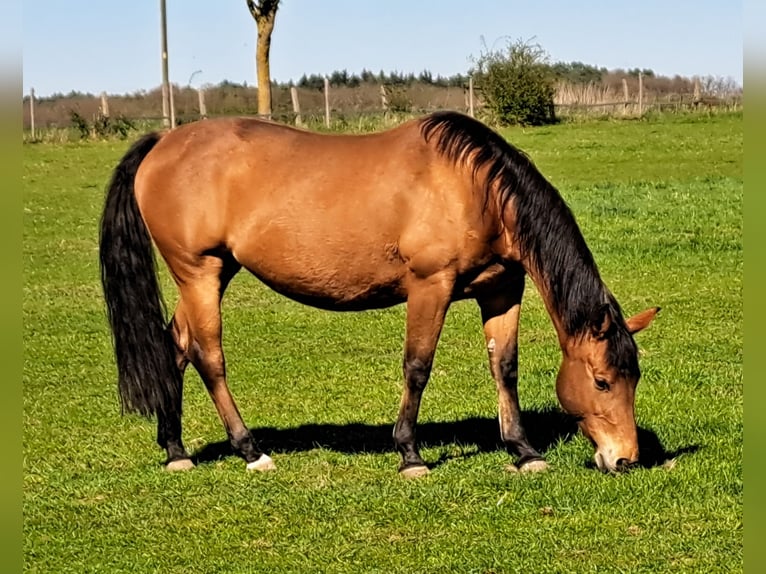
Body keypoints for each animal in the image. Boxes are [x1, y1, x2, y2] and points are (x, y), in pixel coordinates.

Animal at [99, 111, 658, 477]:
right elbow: (418, 367)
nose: (625, 458)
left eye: (633, 377)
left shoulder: (502, 289)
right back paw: (250, 449)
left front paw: (523, 450)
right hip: (199, 273)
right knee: (208, 357)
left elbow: (505, 367)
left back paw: (175, 449)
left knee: (174, 347)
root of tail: (163, 141)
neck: (473, 187)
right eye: (603, 381)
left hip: (212, 273)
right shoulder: (430, 287)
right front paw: (410, 454)